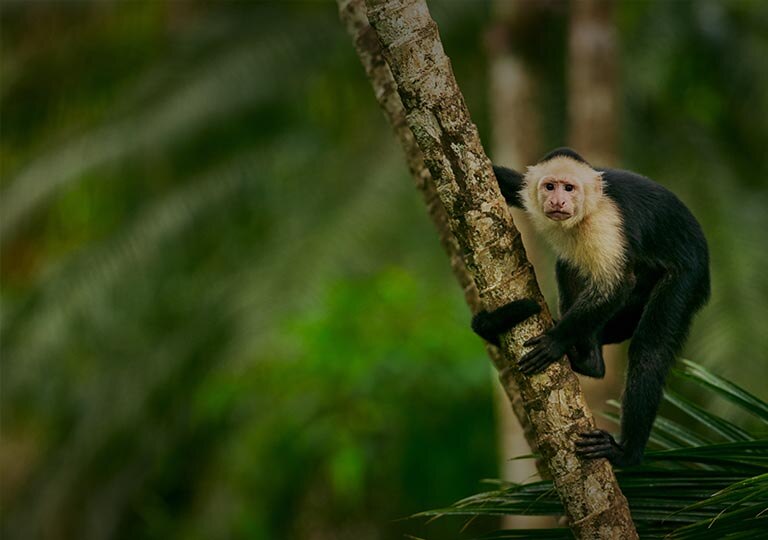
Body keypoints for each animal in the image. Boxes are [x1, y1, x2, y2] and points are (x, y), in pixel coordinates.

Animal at [472, 149, 712, 468]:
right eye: (550, 186)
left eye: (569, 188)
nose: (557, 201)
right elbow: (504, 180)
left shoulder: (606, 220)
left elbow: (616, 286)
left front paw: (555, 341)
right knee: (570, 263)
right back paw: (590, 361)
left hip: (688, 277)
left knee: (649, 349)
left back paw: (627, 452)